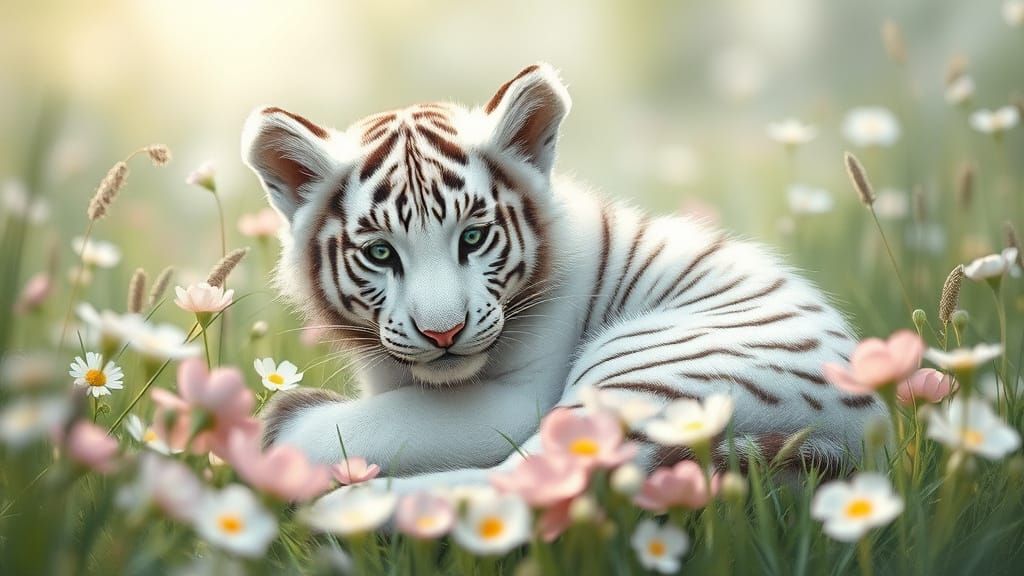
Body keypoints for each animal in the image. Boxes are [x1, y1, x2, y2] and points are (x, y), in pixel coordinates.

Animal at [240, 62, 883, 492]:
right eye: (379, 253)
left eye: (473, 238)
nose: (443, 334)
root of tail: (869, 442)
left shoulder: (519, 400)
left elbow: (368, 423)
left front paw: (276, 432)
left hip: (644, 376)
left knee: (519, 485)